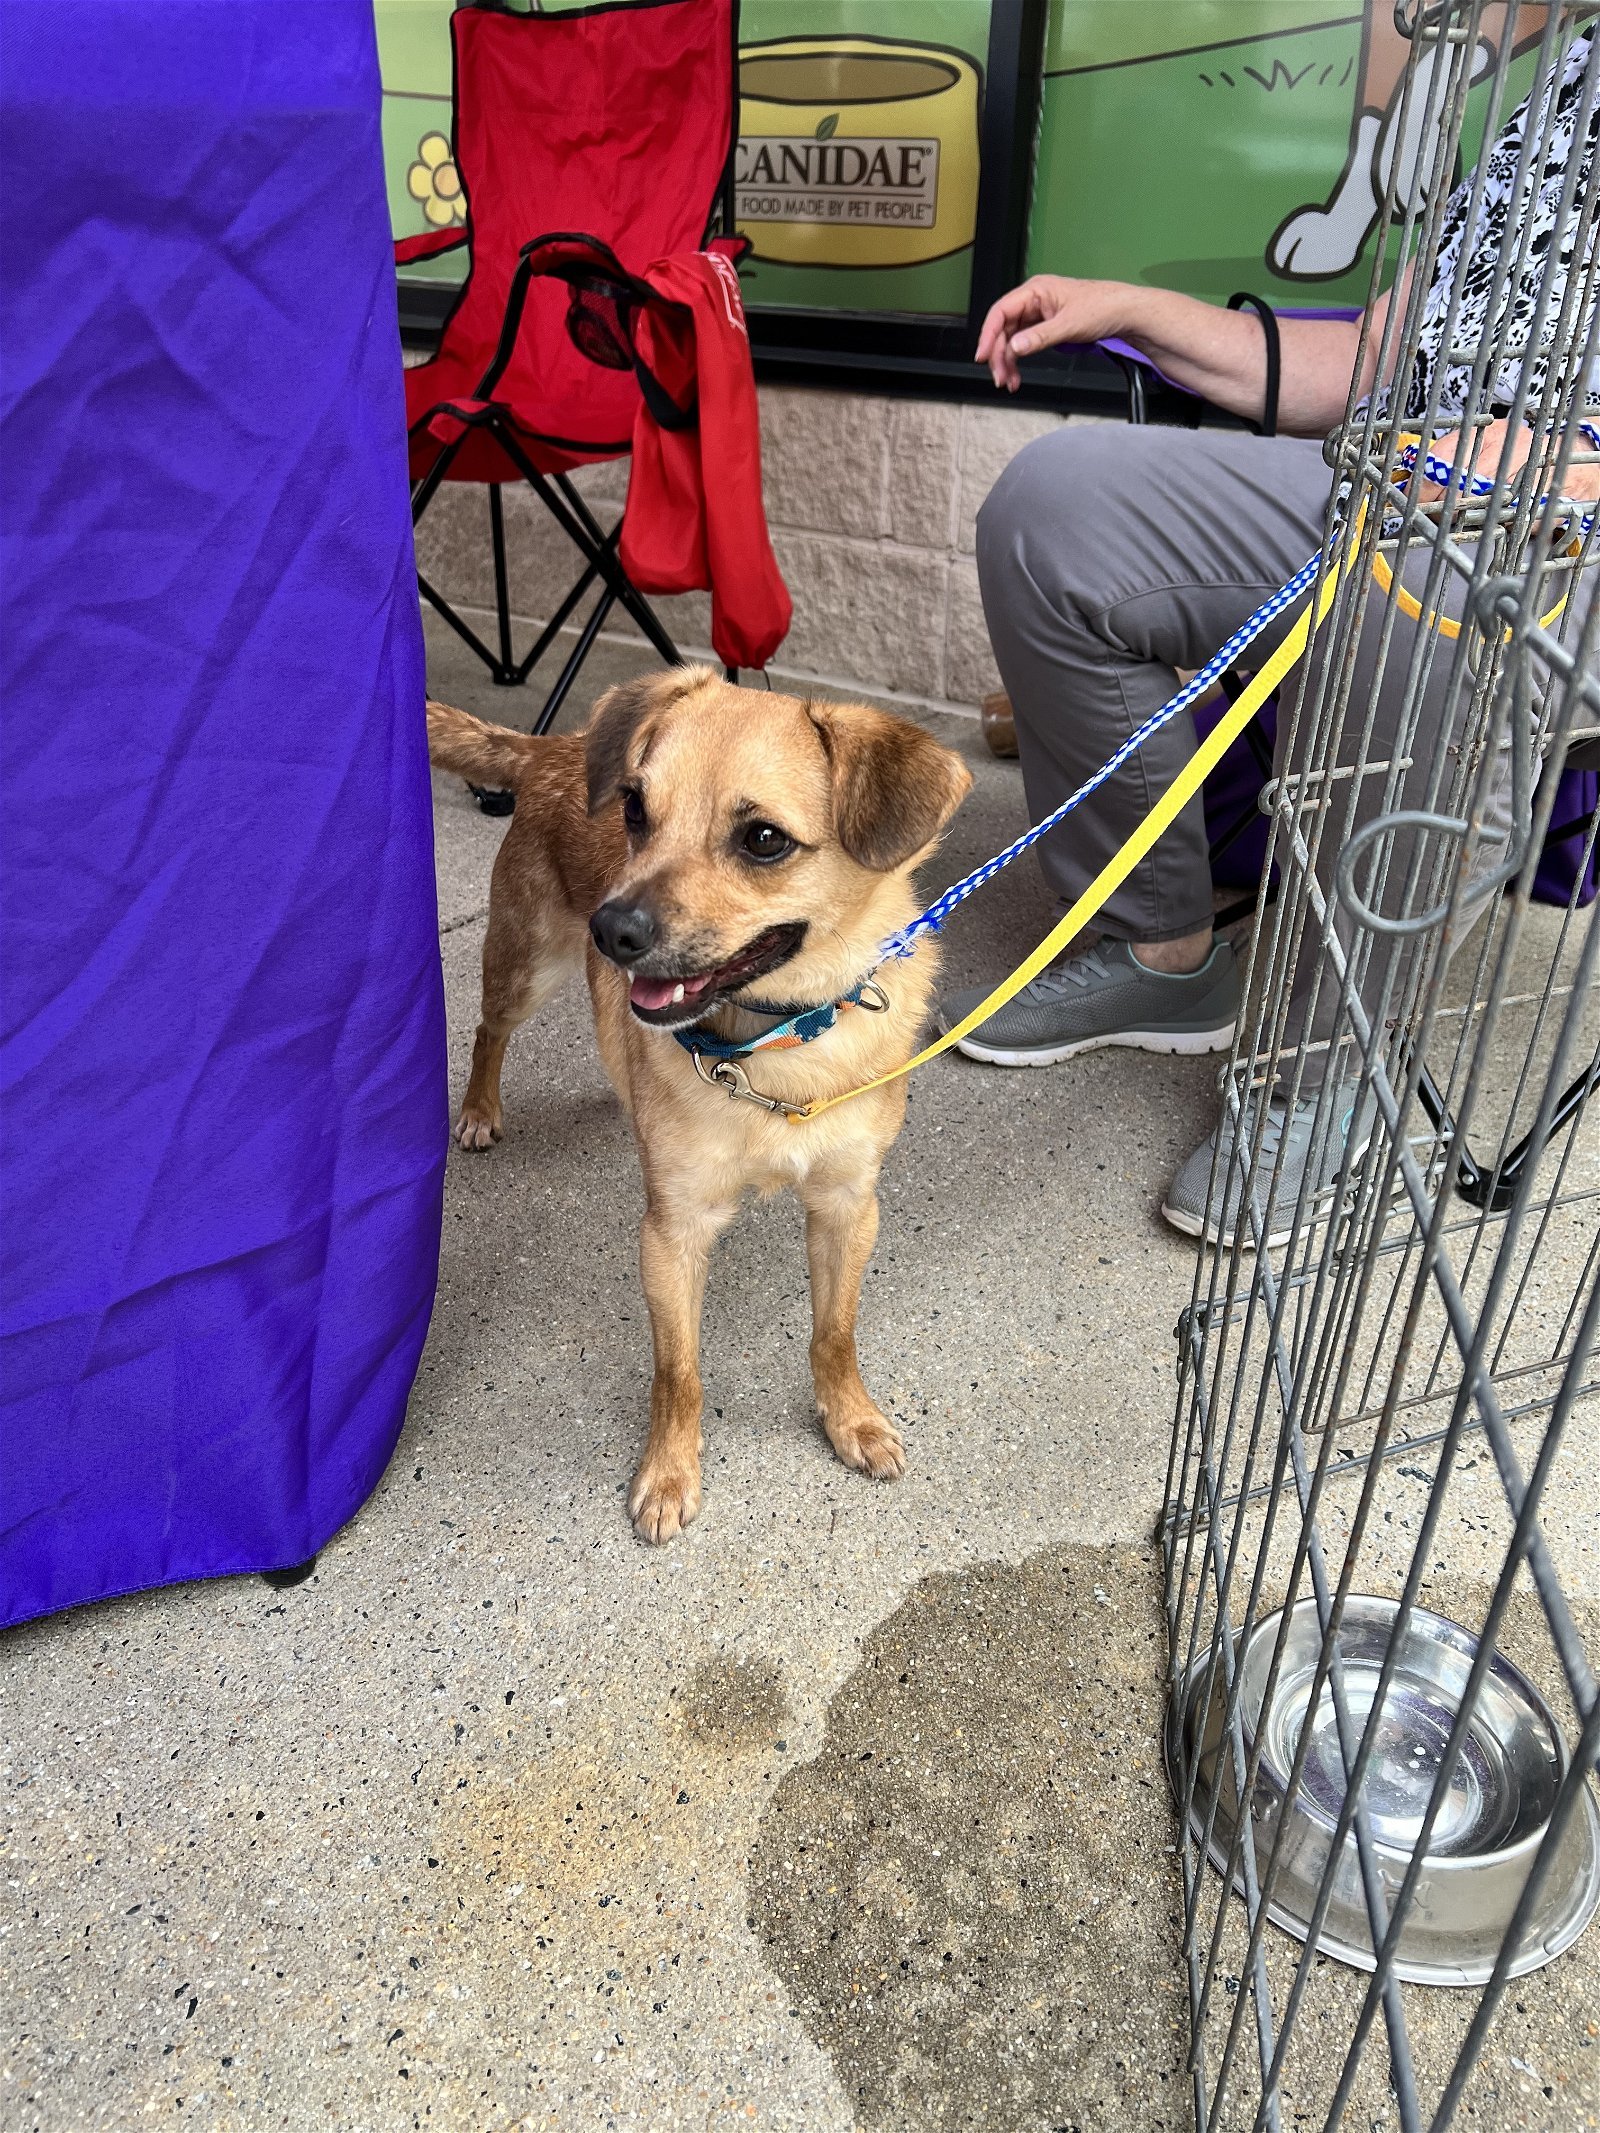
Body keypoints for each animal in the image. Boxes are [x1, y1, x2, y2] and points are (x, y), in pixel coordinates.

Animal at [426, 665, 972, 1535]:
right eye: (635, 810)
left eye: (764, 840)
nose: (611, 929)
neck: (777, 1043)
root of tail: (557, 747)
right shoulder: (674, 1232)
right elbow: (677, 1371)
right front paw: (670, 1470)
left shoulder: (848, 1205)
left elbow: (836, 1332)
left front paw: (849, 1419)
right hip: (525, 965)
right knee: (487, 1029)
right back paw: (481, 1108)